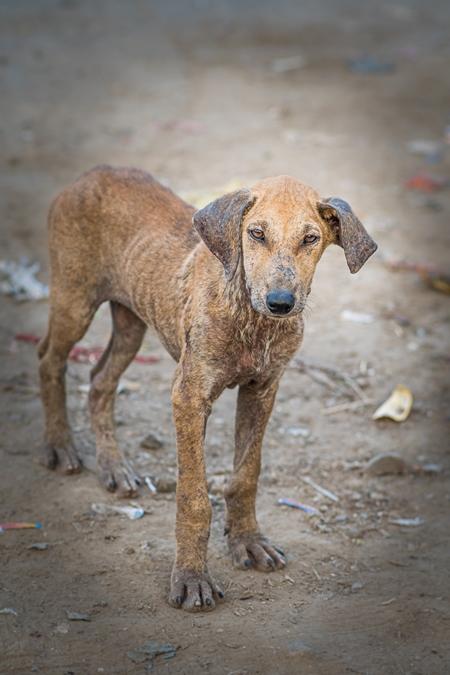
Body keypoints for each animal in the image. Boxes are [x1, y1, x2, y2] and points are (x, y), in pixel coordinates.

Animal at [37, 168, 376, 612]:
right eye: (256, 233)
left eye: (310, 238)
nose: (281, 303)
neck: (249, 317)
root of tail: (92, 174)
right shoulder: (189, 395)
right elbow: (194, 498)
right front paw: (192, 578)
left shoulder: (262, 390)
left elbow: (246, 474)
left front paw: (248, 541)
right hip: (73, 301)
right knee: (49, 361)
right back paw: (60, 447)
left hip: (131, 321)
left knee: (98, 382)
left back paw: (114, 467)